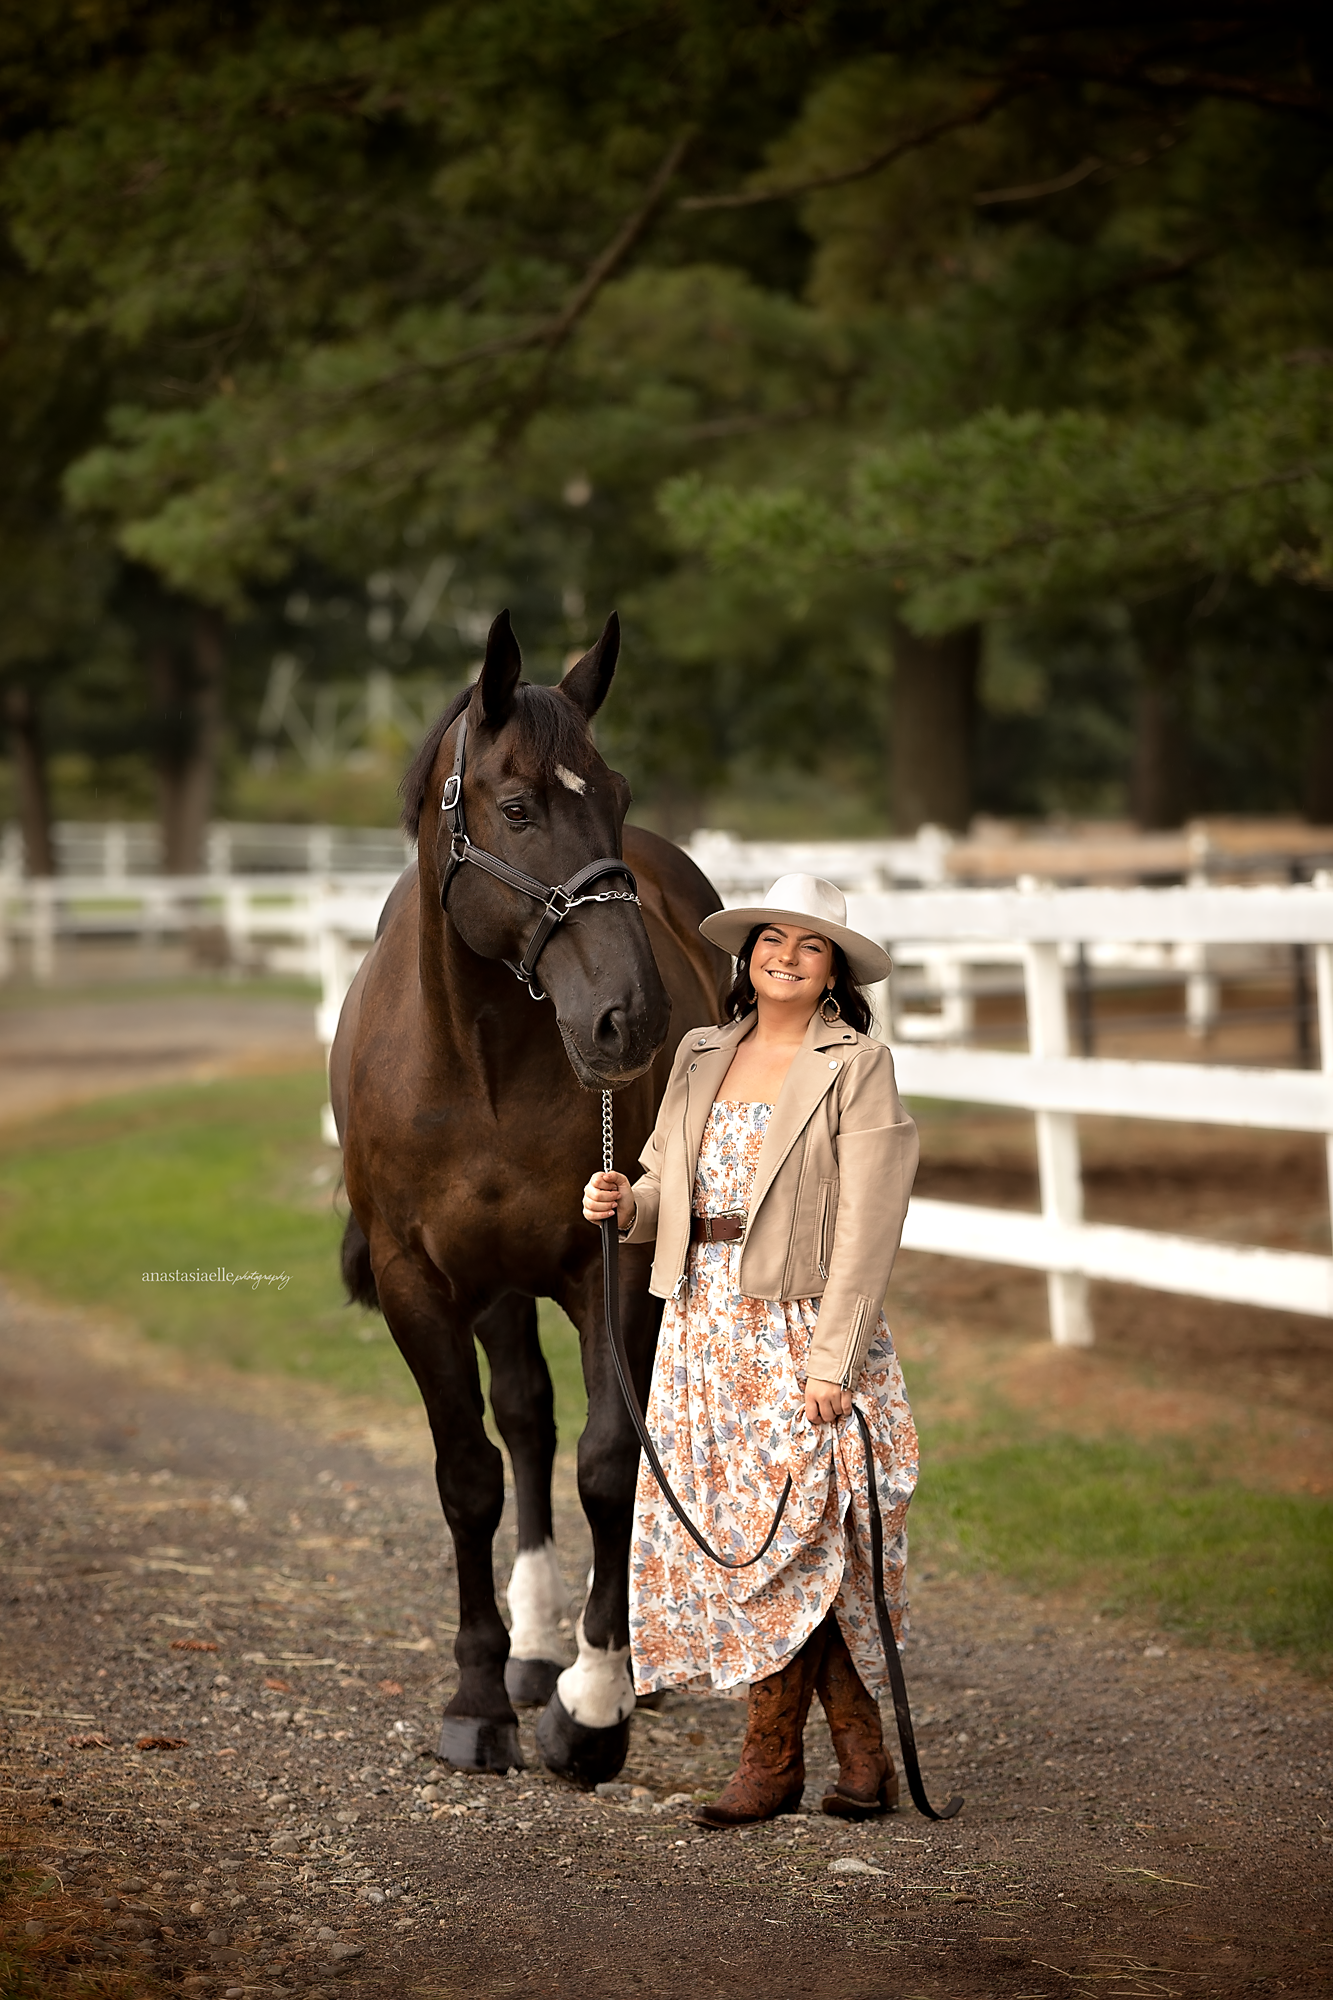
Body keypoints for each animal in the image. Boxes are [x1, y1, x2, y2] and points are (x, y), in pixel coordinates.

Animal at [330, 608, 727, 1784]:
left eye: (618, 793)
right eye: (517, 808)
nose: (630, 1017)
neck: (483, 1065)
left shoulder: (615, 1268)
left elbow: (608, 1462)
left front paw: (593, 1706)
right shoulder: (419, 1283)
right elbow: (469, 1470)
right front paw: (477, 1697)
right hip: (493, 1287)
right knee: (523, 1419)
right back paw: (530, 1645)